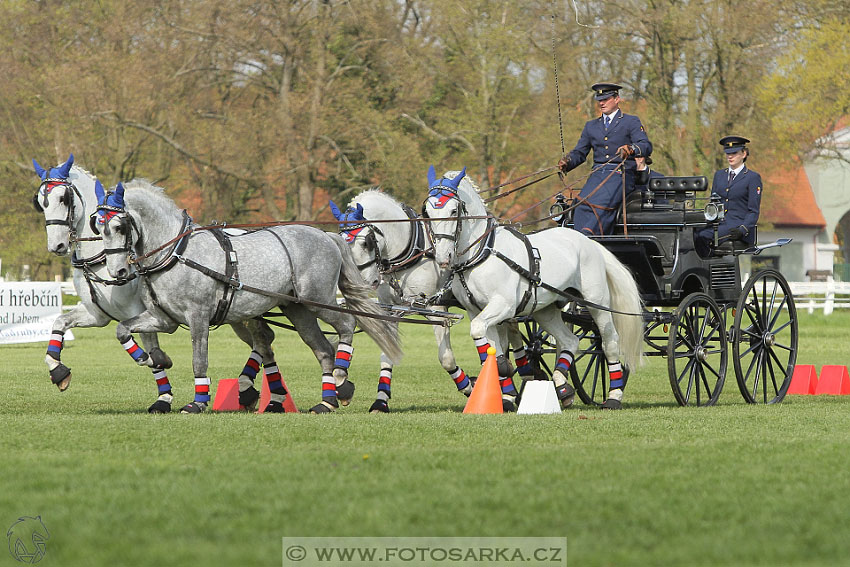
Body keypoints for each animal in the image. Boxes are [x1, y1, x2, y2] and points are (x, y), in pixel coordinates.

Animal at [96, 181, 400, 412]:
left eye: (120, 227)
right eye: (98, 227)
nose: (118, 271)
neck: (174, 254)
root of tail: (326, 236)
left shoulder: (198, 316)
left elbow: (199, 359)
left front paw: (198, 402)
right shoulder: (163, 318)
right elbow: (123, 330)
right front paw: (149, 359)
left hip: (319, 300)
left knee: (347, 325)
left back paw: (339, 378)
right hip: (297, 309)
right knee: (323, 349)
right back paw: (326, 402)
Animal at [330, 191, 536, 412]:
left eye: (366, 242)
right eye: (342, 243)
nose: (360, 284)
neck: (409, 252)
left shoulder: (436, 308)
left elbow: (446, 359)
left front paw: (470, 387)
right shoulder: (391, 310)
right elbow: (388, 352)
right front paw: (379, 400)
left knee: (511, 331)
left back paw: (519, 382)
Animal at [420, 166, 640, 410]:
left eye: (453, 209)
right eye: (427, 212)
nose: (443, 257)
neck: (482, 253)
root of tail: (589, 241)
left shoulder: (503, 305)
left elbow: (480, 332)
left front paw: (504, 371)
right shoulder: (476, 310)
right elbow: (490, 343)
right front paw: (505, 391)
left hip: (597, 303)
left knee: (609, 341)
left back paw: (613, 396)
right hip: (546, 310)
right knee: (569, 341)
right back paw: (562, 388)